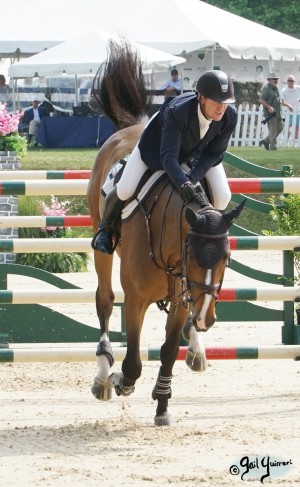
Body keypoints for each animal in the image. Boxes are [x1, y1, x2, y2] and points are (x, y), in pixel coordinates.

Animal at [86, 40, 244, 426]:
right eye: (192, 255)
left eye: (227, 258)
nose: (206, 318)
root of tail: (133, 128)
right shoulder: (137, 298)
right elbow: (132, 361)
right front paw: (121, 380)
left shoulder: (180, 300)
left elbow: (169, 351)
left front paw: (162, 406)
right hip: (101, 245)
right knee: (104, 300)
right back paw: (103, 375)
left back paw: (196, 346)